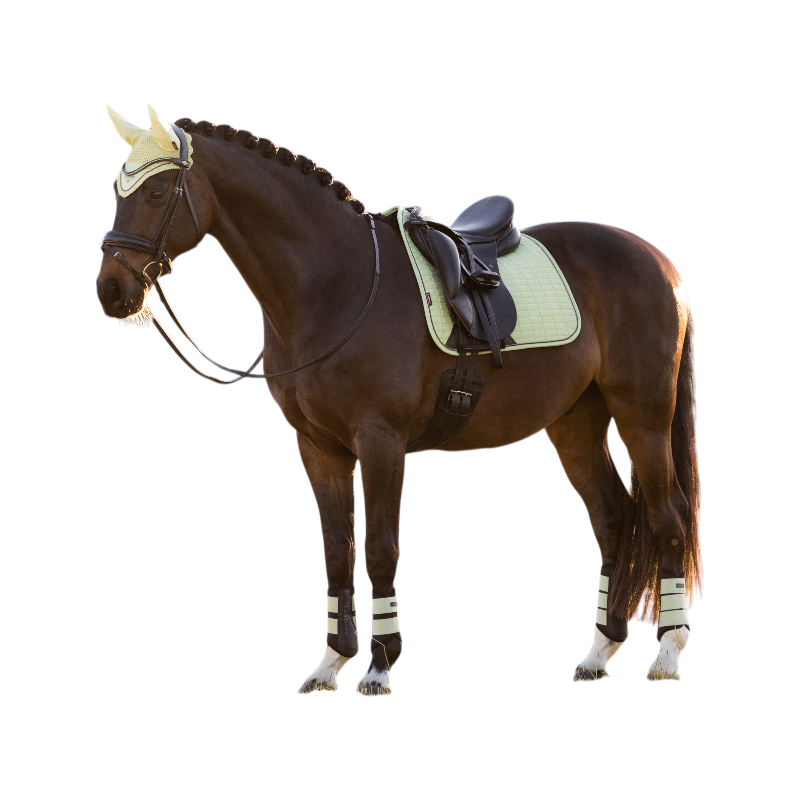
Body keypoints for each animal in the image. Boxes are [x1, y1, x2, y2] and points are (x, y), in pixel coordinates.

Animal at [96, 104, 703, 692]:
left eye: (156, 194)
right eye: (119, 193)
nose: (112, 292)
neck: (334, 283)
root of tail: (659, 262)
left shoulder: (380, 441)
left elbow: (380, 547)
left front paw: (379, 665)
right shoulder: (319, 448)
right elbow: (338, 550)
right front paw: (330, 663)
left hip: (644, 416)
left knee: (668, 516)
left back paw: (668, 652)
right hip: (576, 423)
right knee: (614, 520)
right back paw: (599, 651)